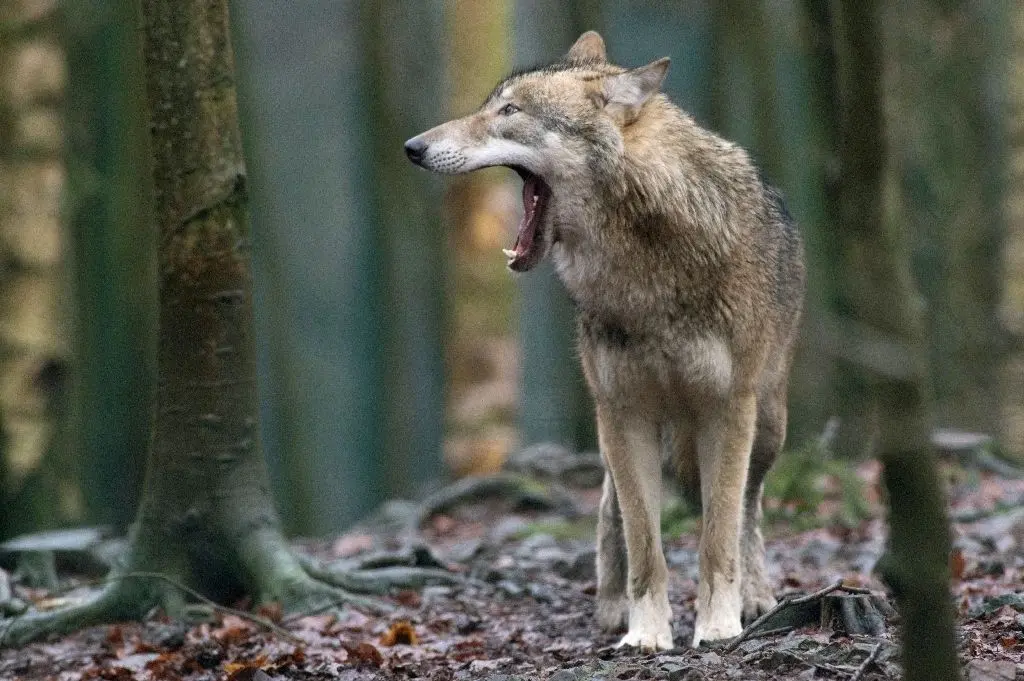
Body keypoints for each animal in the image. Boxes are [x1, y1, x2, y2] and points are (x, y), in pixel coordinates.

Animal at [405, 31, 805, 649]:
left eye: (509, 112)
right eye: (491, 105)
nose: (412, 146)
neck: (646, 270)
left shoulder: (726, 409)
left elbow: (719, 535)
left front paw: (718, 626)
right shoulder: (622, 410)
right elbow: (644, 543)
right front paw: (645, 633)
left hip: (766, 426)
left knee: (749, 510)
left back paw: (757, 596)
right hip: (615, 430)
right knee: (610, 508)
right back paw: (611, 606)